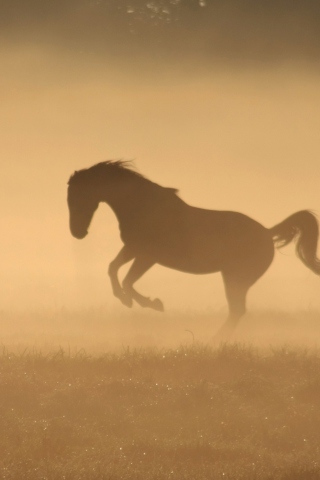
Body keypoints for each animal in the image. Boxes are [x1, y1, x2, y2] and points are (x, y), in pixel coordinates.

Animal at [67, 161, 320, 338]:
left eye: (78, 196)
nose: (77, 233)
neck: (143, 207)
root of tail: (268, 233)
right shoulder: (132, 249)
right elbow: (113, 269)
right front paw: (125, 300)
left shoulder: (148, 256)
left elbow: (128, 281)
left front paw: (152, 304)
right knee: (237, 310)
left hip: (235, 279)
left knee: (237, 310)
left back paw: (215, 341)